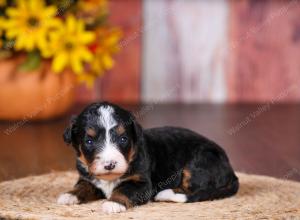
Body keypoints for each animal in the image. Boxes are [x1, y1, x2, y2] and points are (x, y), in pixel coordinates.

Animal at [56, 102, 239, 214]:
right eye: (89, 141)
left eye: (123, 139)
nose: (110, 165)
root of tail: (230, 168)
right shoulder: (87, 177)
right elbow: (83, 186)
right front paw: (69, 195)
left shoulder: (142, 184)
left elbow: (124, 189)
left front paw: (113, 203)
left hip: (198, 164)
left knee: (194, 190)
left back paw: (165, 194)